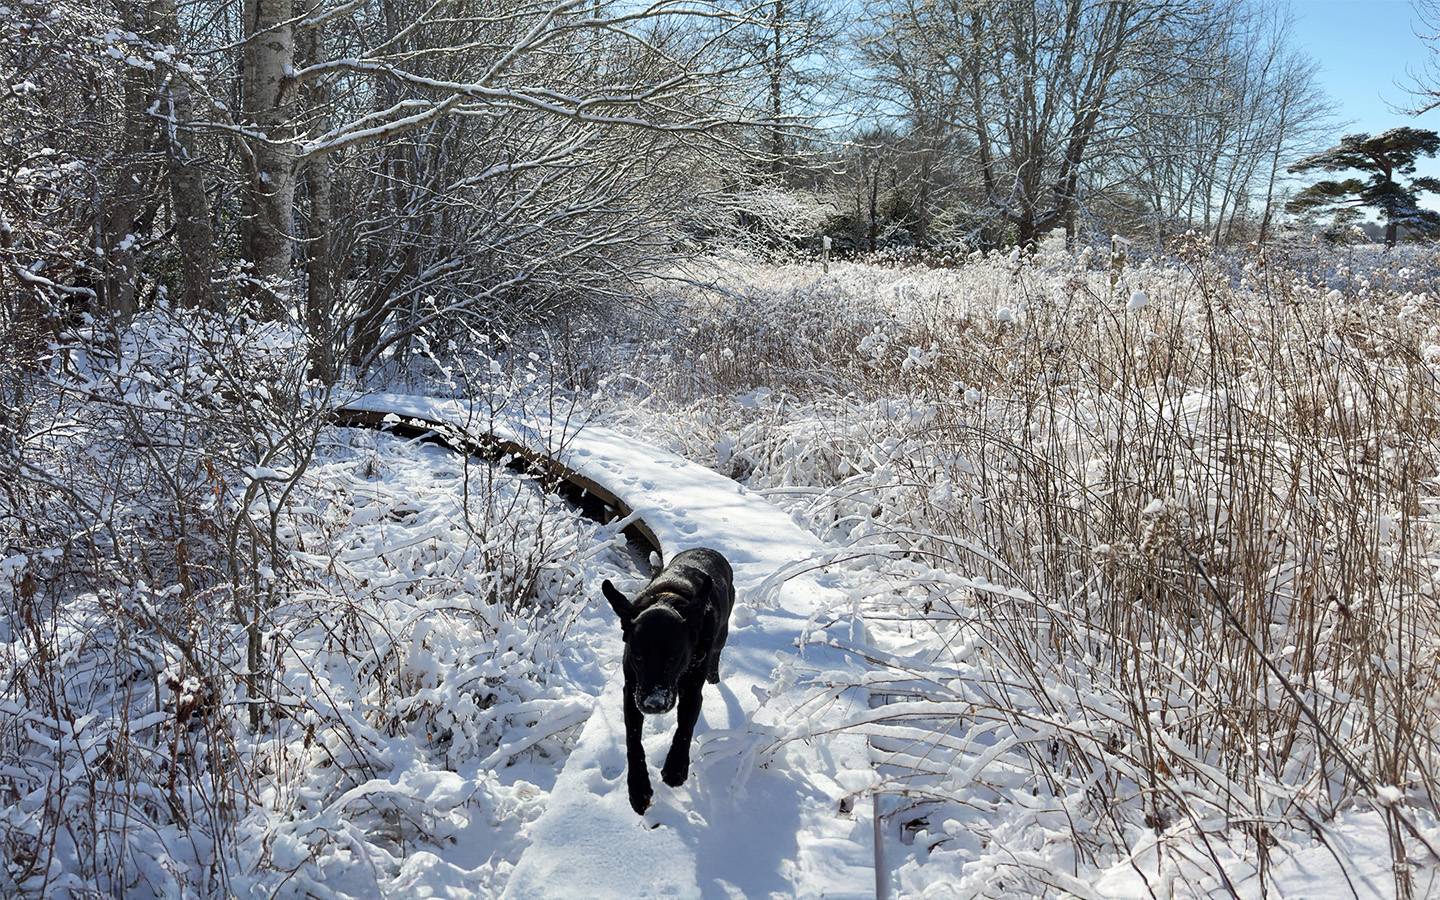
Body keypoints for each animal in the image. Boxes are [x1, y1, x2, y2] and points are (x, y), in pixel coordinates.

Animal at [601, 547, 737, 812]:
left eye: (674, 658)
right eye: (638, 657)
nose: (654, 704)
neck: (668, 599)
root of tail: (708, 550)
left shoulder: (692, 690)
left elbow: (685, 727)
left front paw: (676, 766)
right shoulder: (632, 691)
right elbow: (633, 739)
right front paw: (638, 787)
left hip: (721, 634)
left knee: (716, 653)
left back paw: (714, 676)